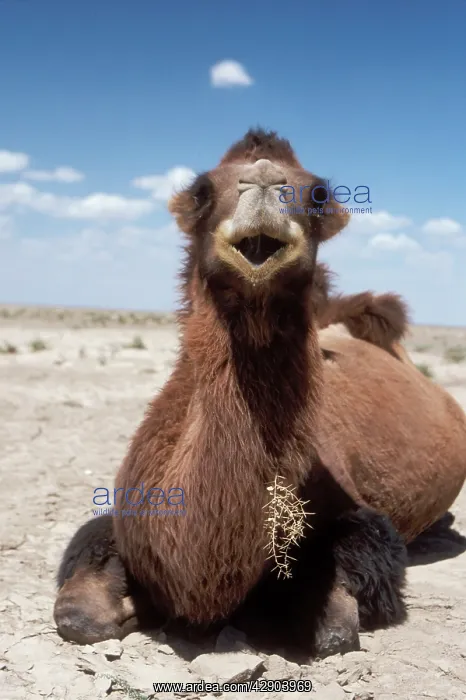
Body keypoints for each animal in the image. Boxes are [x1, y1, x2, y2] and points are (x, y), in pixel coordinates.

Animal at [53, 129, 466, 659]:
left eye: (318, 193)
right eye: (201, 190)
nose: (265, 181)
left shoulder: (360, 522)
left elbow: (336, 625)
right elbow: (78, 613)